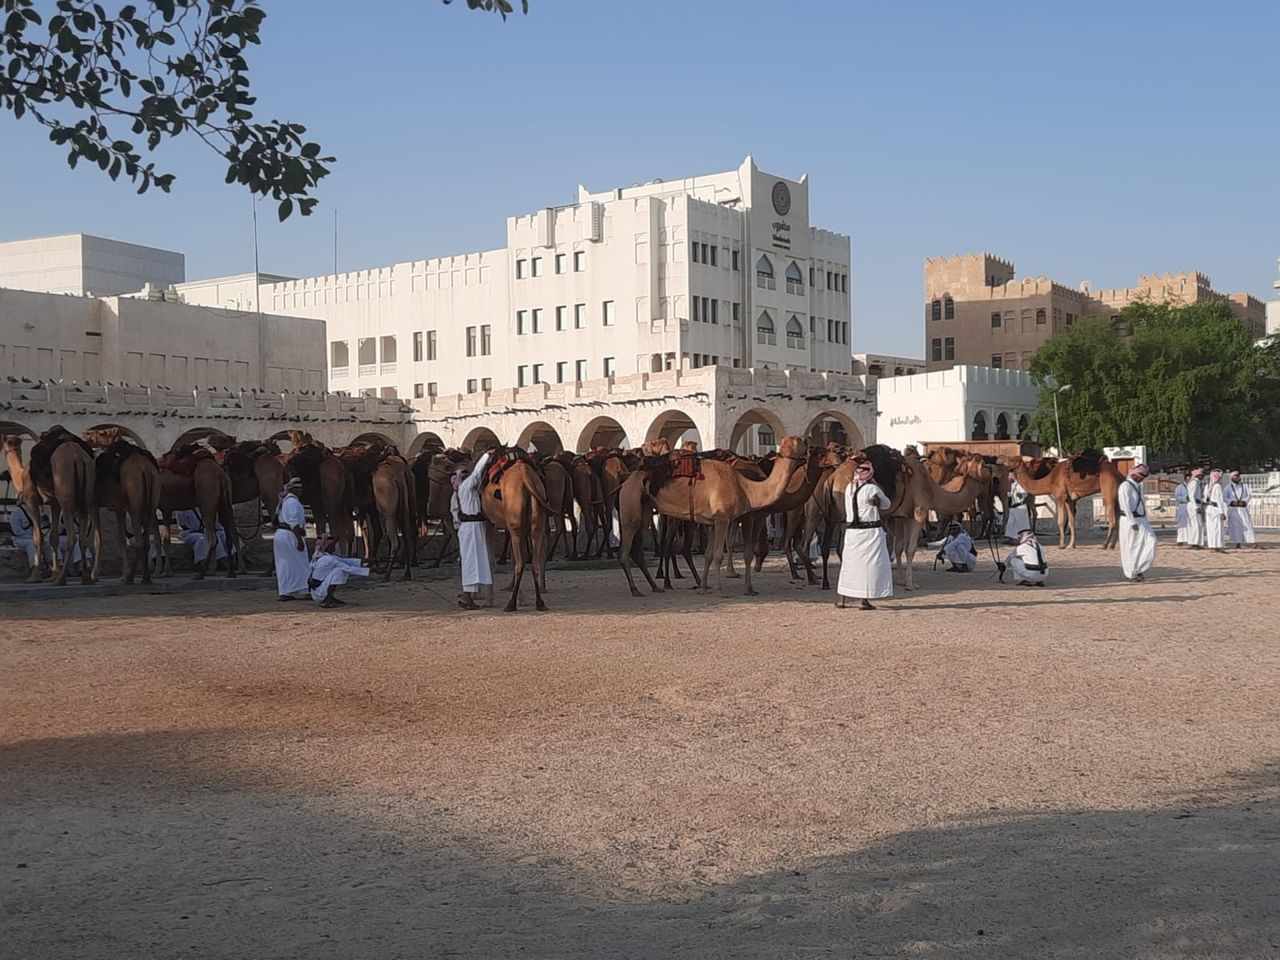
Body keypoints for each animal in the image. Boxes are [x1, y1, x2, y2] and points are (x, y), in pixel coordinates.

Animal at [19, 427, 99, 586]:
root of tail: (77, 457)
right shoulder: (54, 503)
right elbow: (53, 536)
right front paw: (53, 574)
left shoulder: (31, 500)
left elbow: (38, 536)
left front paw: (35, 576)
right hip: (85, 496)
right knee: (83, 538)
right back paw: (85, 578)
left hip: (66, 494)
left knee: (72, 538)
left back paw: (61, 579)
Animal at [82, 427, 161, 586]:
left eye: (102, 433)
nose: (85, 434)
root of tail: (145, 469)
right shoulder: (120, 507)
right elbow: (122, 540)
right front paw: (123, 574)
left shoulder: (94, 505)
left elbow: (98, 540)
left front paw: (94, 575)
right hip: (151, 503)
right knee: (146, 541)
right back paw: (145, 577)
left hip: (136, 505)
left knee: (139, 542)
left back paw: (132, 578)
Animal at [476, 453, 545, 616]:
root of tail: (526, 477)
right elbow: (512, 559)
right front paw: (523, 599)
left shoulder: (488, 522)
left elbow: (490, 560)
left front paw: (489, 600)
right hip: (535, 522)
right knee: (533, 562)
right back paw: (539, 603)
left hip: (515, 523)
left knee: (521, 563)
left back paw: (510, 604)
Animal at [614, 435, 803, 599]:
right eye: (800, 441)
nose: (807, 444)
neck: (745, 487)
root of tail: (625, 483)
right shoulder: (722, 519)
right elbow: (718, 554)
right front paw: (719, 590)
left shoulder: (712, 523)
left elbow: (709, 554)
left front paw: (704, 586)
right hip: (630, 506)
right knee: (626, 549)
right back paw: (636, 589)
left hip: (644, 508)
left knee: (638, 548)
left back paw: (655, 586)